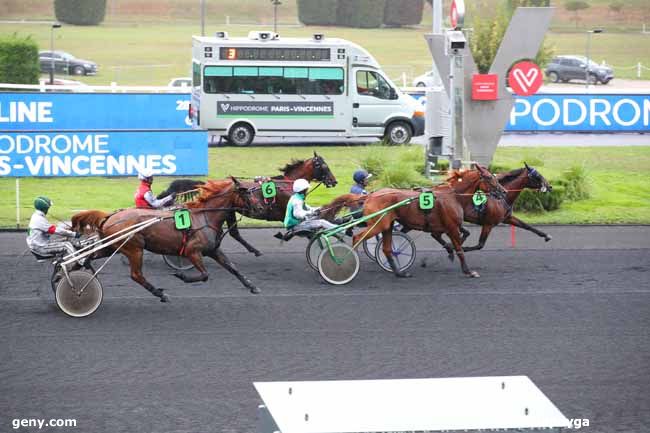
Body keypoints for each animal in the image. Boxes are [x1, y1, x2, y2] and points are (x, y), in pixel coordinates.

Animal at [71, 177, 264, 302]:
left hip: (112, 246)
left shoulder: (213, 250)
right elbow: (204, 275)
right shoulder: (192, 251)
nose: (261, 207)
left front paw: (252, 286)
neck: (204, 217)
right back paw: (160, 293)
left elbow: (233, 268)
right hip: (134, 249)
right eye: (245, 192)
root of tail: (110, 216)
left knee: (87, 258)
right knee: (136, 275)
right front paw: (182, 275)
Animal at [352, 164, 504, 278]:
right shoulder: (452, 227)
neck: (453, 196)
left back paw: (400, 273)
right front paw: (468, 271)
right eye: (489, 177)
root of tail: (370, 196)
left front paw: (450, 250)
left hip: (387, 226)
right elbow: (459, 248)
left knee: (387, 249)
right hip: (378, 224)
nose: (503, 191)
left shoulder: (444, 227)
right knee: (357, 238)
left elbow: (458, 238)